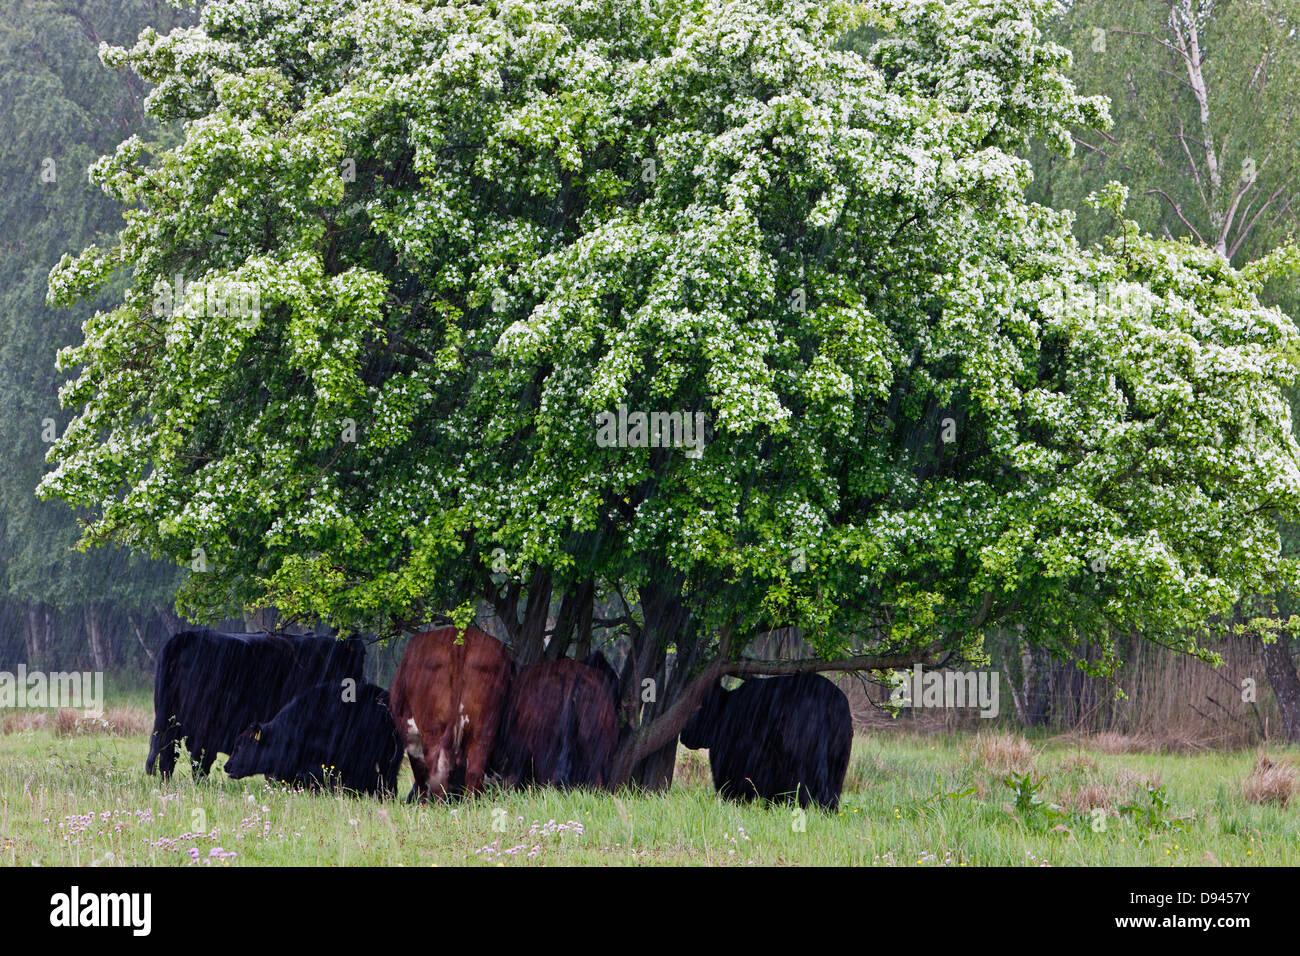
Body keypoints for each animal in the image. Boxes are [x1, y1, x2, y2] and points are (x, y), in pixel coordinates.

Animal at [388, 626, 511, 800]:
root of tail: (461, 638)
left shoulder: (411, 735)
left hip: (433, 728)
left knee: (437, 769)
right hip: (484, 728)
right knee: (474, 769)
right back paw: (470, 802)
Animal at [679, 673, 852, 810]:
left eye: (697, 708)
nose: (683, 733)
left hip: (800, 761)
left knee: (802, 791)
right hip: (838, 761)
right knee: (831, 793)